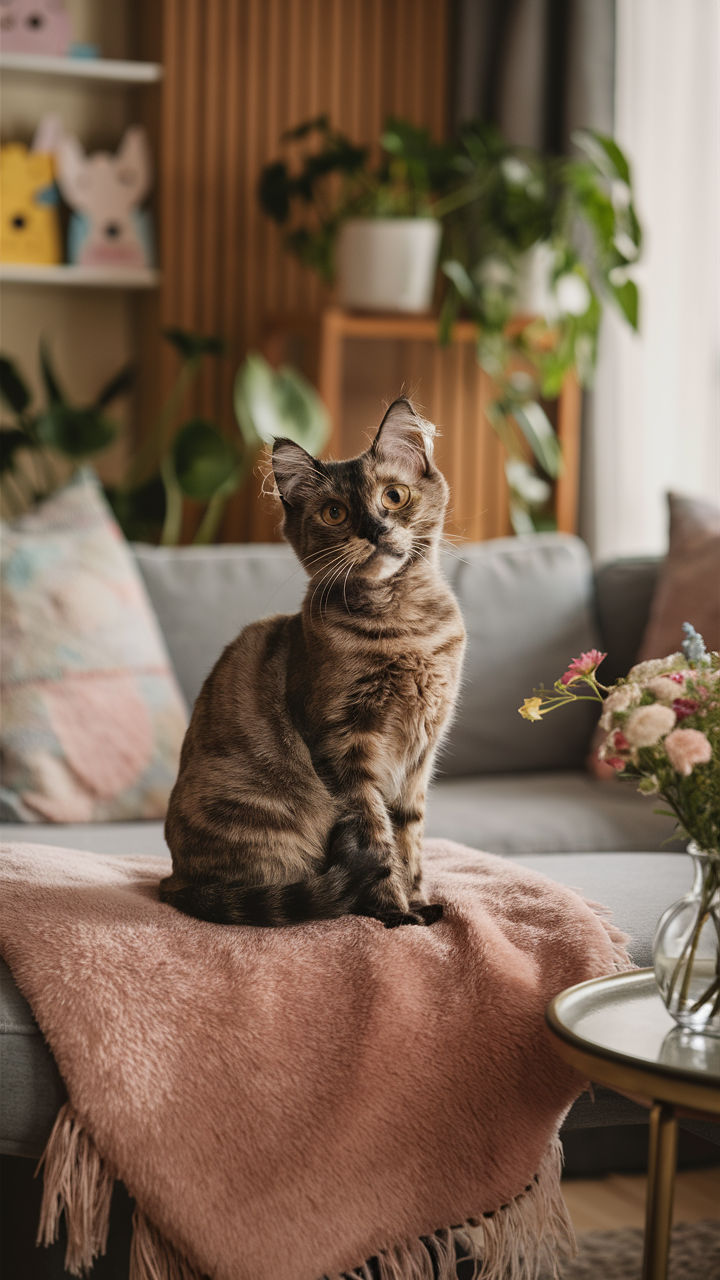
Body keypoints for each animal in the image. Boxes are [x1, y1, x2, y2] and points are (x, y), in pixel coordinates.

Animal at [158, 399, 466, 931]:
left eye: (395, 496)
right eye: (334, 512)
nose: (374, 529)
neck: (404, 629)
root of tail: (176, 882)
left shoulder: (419, 757)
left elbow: (410, 838)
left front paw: (418, 900)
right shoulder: (344, 746)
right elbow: (376, 838)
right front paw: (394, 913)